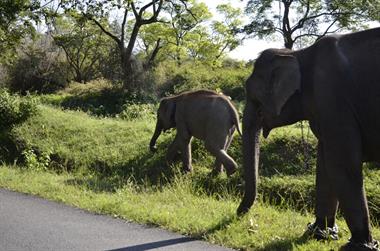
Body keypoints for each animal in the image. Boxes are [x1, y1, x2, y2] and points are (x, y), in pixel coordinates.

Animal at [238, 28, 380, 250]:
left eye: (254, 98)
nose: (239, 214)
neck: (298, 54)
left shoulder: (333, 98)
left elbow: (341, 165)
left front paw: (359, 246)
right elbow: (324, 164)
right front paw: (320, 234)